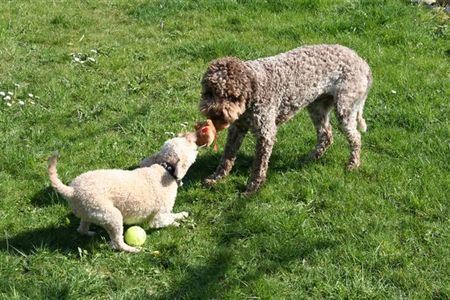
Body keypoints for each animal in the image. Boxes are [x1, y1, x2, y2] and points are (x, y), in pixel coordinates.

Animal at [48, 132, 198, 252]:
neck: (165, 169)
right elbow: (165, 220)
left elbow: (173, 215)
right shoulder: (158, 217)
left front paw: (181, 215)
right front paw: (175, 223)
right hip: (110, 214)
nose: (191, 134)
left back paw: (90, 233)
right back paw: (133, 249)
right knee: (116, 243)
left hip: (89, 211)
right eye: (187, 142)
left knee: (82, 229)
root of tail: (71, 190)